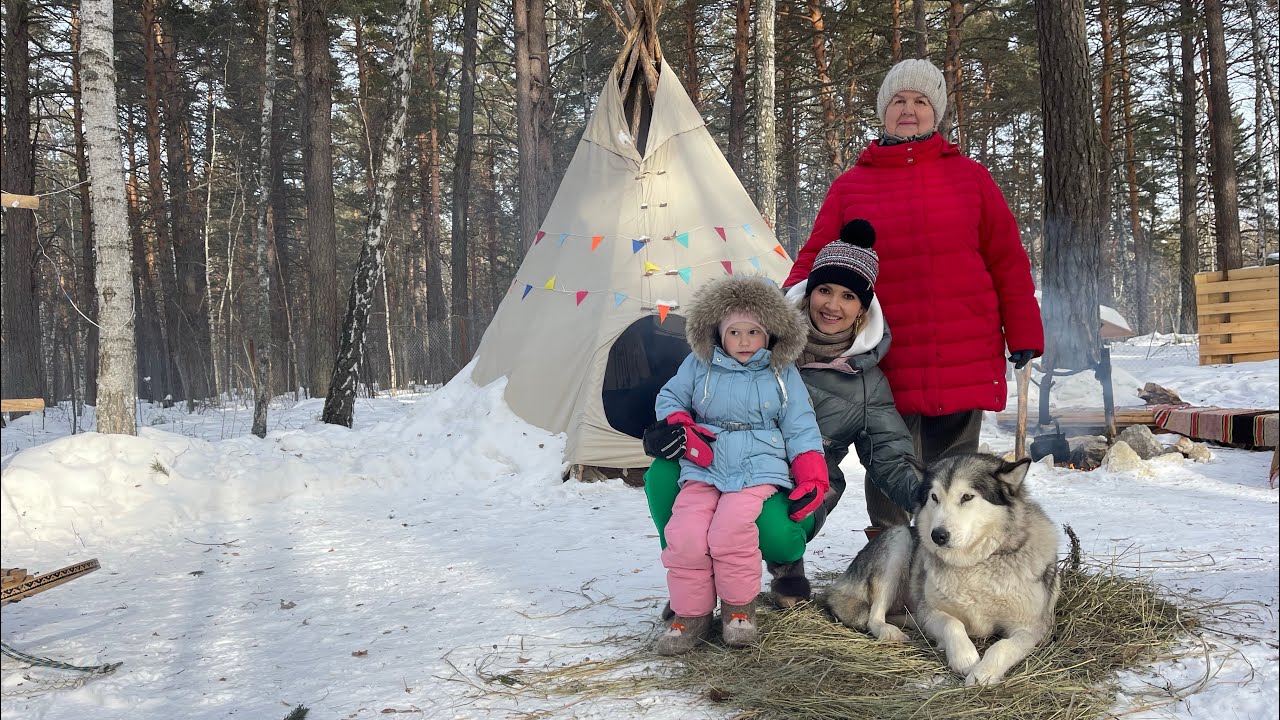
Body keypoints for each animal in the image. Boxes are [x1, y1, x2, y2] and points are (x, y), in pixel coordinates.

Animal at [829, 453, 1059, 681]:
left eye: (967, 497)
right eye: (934, 497)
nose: (938, 535)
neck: (973, 564)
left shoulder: (1031, 628)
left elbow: (1002, 646)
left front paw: (983, 673)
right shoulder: (930, 611)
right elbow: (953, 624)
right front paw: (965, 657)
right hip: (899, 539)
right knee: (873, 617)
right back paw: (890, 632)